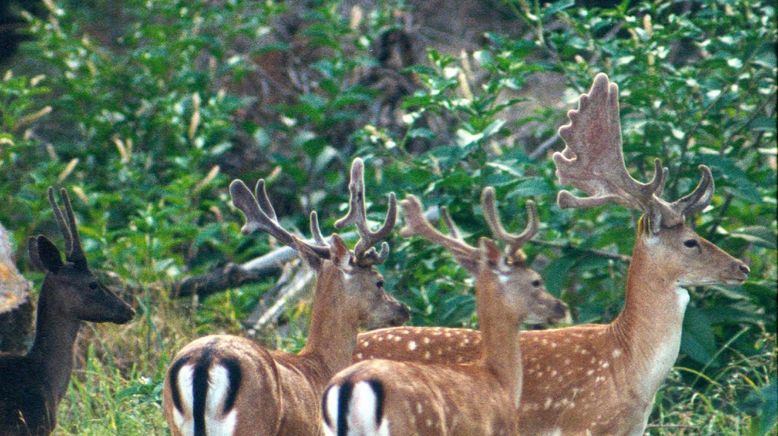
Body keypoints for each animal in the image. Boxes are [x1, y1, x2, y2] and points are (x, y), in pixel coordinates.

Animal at [161, 159, 410, 436]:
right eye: (379, 281)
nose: (403, 309)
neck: (319, 367)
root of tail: (205, 360)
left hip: (175, 422)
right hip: (250, 423)